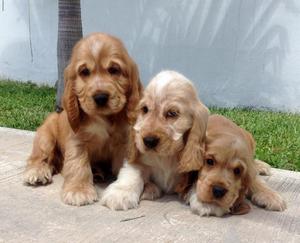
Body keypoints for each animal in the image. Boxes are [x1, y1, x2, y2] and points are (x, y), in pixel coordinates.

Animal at [22, 32, 142, 205]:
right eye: (84, 72)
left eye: (114, 70)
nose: (100, 97)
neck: (104, 118)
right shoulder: (77, 140)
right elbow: (78, 164)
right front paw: (79, 191)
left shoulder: (124, 141)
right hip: (45, 137)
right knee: (39, 158)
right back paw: (37, 172)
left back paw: (97, 173)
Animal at [101, 70, 209, 211]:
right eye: (145, 109)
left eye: (172, 113)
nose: (149, 141)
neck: (166, 157)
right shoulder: (138, 159)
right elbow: (132, 173)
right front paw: (120, 194)